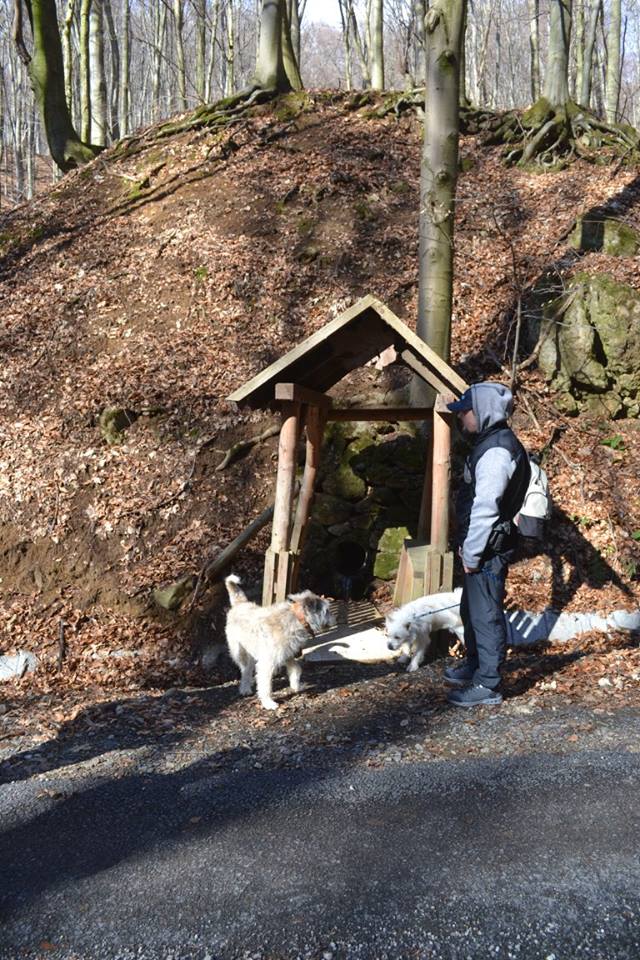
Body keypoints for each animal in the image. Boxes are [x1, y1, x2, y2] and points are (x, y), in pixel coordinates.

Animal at [224, 572, 338, 708]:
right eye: (327, 611)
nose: (336, 620)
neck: (297, 619)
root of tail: (240, 604)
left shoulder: (287, 655)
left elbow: (296, 669)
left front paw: (296, 686)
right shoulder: (267, 663)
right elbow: (266, 685)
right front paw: (268, 702)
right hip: (239, 652)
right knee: (245, 669)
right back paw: (245, 687)